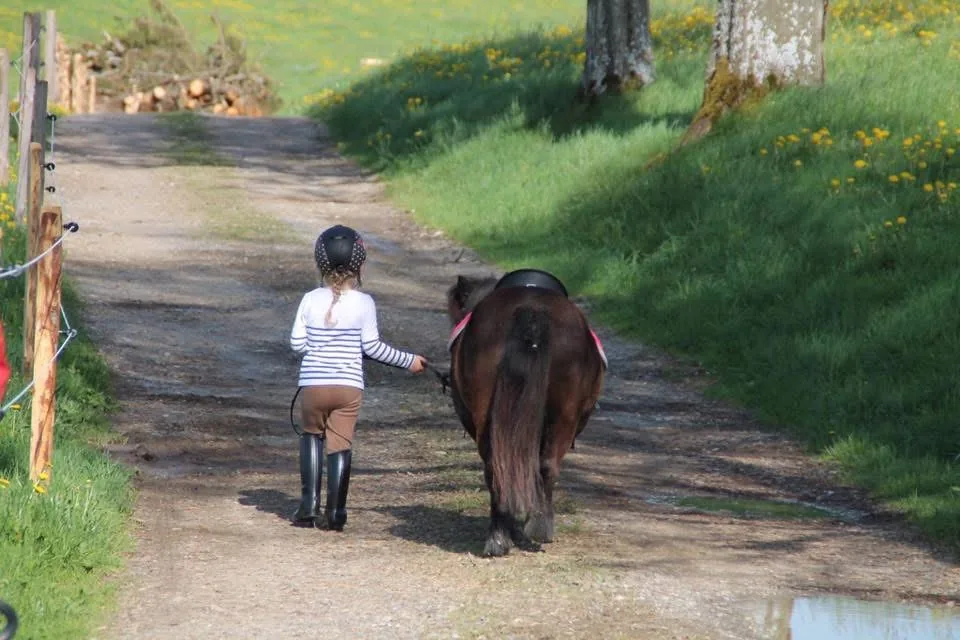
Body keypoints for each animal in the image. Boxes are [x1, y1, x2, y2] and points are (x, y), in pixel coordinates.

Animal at [446, 269, 606, 557]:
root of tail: (531, 310)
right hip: (563, 417)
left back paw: (500, 537)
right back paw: (535, 528)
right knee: (543, 466)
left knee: (499, 467)